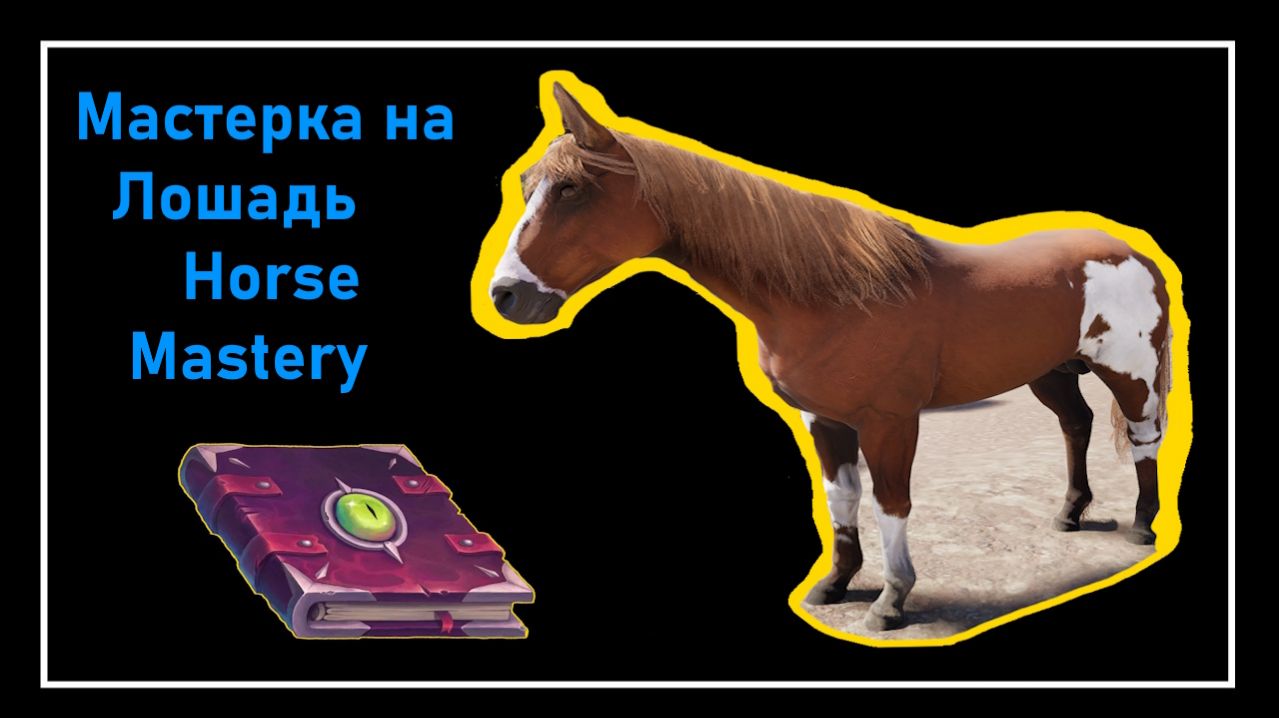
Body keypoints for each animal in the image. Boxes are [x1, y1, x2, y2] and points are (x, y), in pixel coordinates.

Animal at [479, 82, 1173, 631]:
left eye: (571, 189)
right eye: (527, 185)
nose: (506, 296)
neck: (836, 295)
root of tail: (1133, 252)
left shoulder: (890, 422)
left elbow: (890, 501)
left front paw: (891, 602)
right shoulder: (824, 418)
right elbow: (840, 499)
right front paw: (836, 585)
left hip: (1129, 375)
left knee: (1144, 439)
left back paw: (1143, 527)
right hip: (1050, 373)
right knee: (1076, 425)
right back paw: (1068, 515)